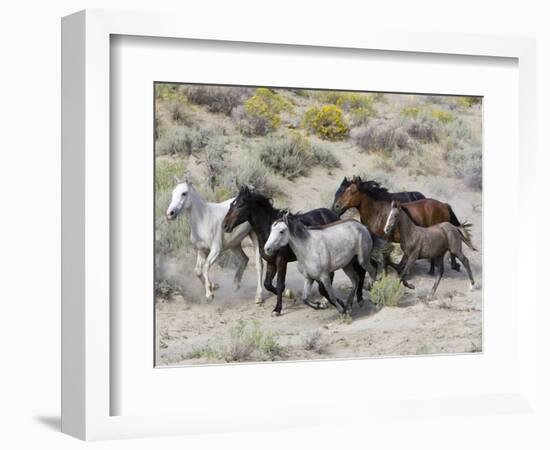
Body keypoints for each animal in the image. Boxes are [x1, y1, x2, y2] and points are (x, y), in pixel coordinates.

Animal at [222, 186, 374, 316]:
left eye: (240, 205)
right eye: (231, 205)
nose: (225, 226)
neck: (267, 231)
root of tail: (333, 214)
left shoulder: (281, 261)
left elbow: (280, 285)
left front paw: (278, 308)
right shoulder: (271, 263)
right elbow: (268, 284)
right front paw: (290, 295)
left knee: (356, 272)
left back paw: (354, 299)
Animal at [332, 176, 470, 274]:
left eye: (352, 191)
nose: (336, 207)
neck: (376, 212)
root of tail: (444, 205)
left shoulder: (383, 240)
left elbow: (385, 260)